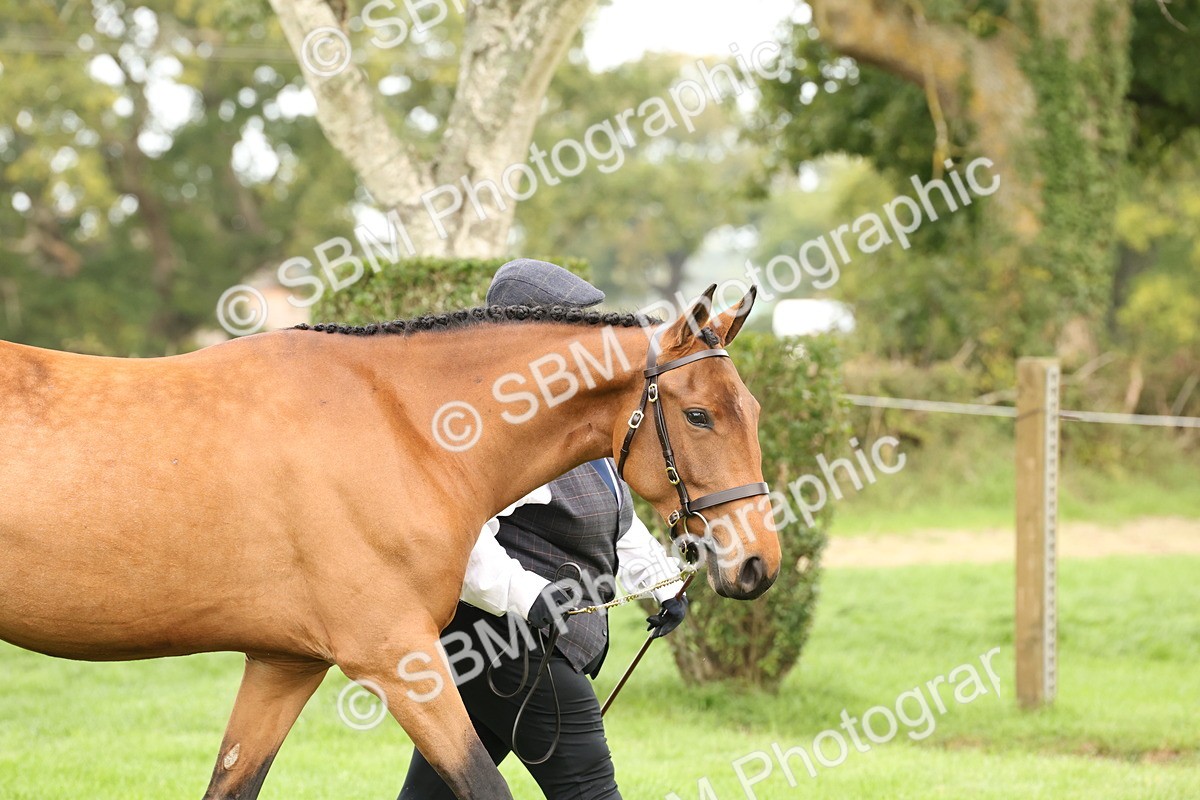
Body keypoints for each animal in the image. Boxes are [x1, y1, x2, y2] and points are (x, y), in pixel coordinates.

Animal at [0, 285, 780, 799]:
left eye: (753, 409)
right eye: (701, 415)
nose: (757, 564)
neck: (402, 426)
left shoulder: (284, 664)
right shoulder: (399, 657)